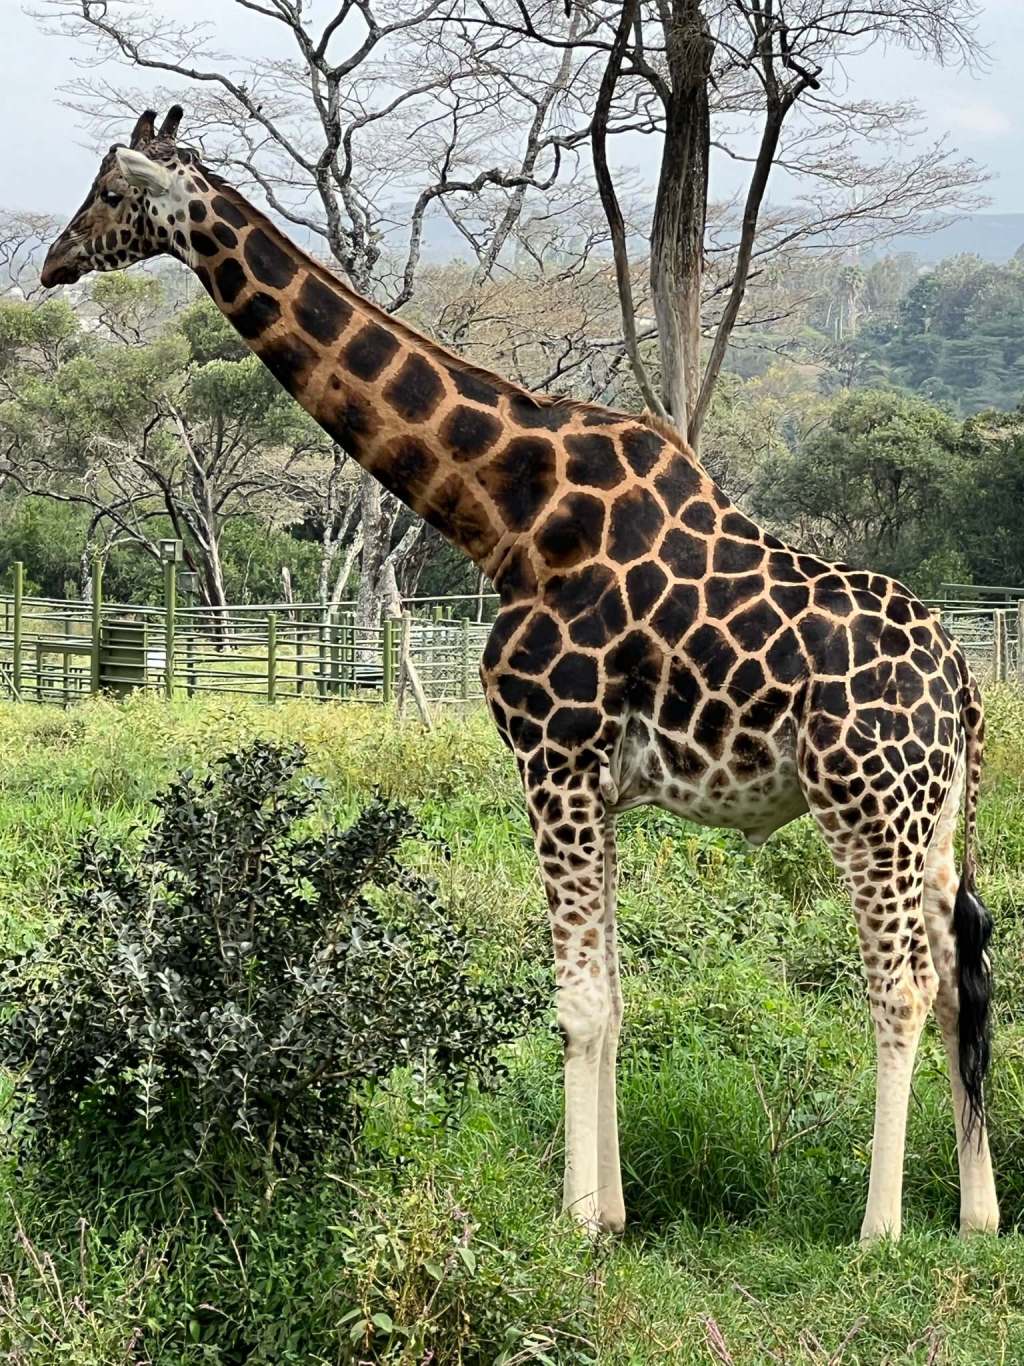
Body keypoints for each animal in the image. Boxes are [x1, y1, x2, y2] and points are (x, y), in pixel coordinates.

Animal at [41, 106, 998, 1242]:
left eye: (109, 194)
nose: (51, 261)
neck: (507, 513)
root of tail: (961, 676)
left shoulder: (554, 752)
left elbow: (578, 1001)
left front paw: (576, 1221)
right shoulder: (596, 782)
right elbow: (614, 994)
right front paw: (614, 1210)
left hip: (865, 806)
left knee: (901, 986)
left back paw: (878, 1229)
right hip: (932, 819)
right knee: (964, 975)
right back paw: (978, 1216)